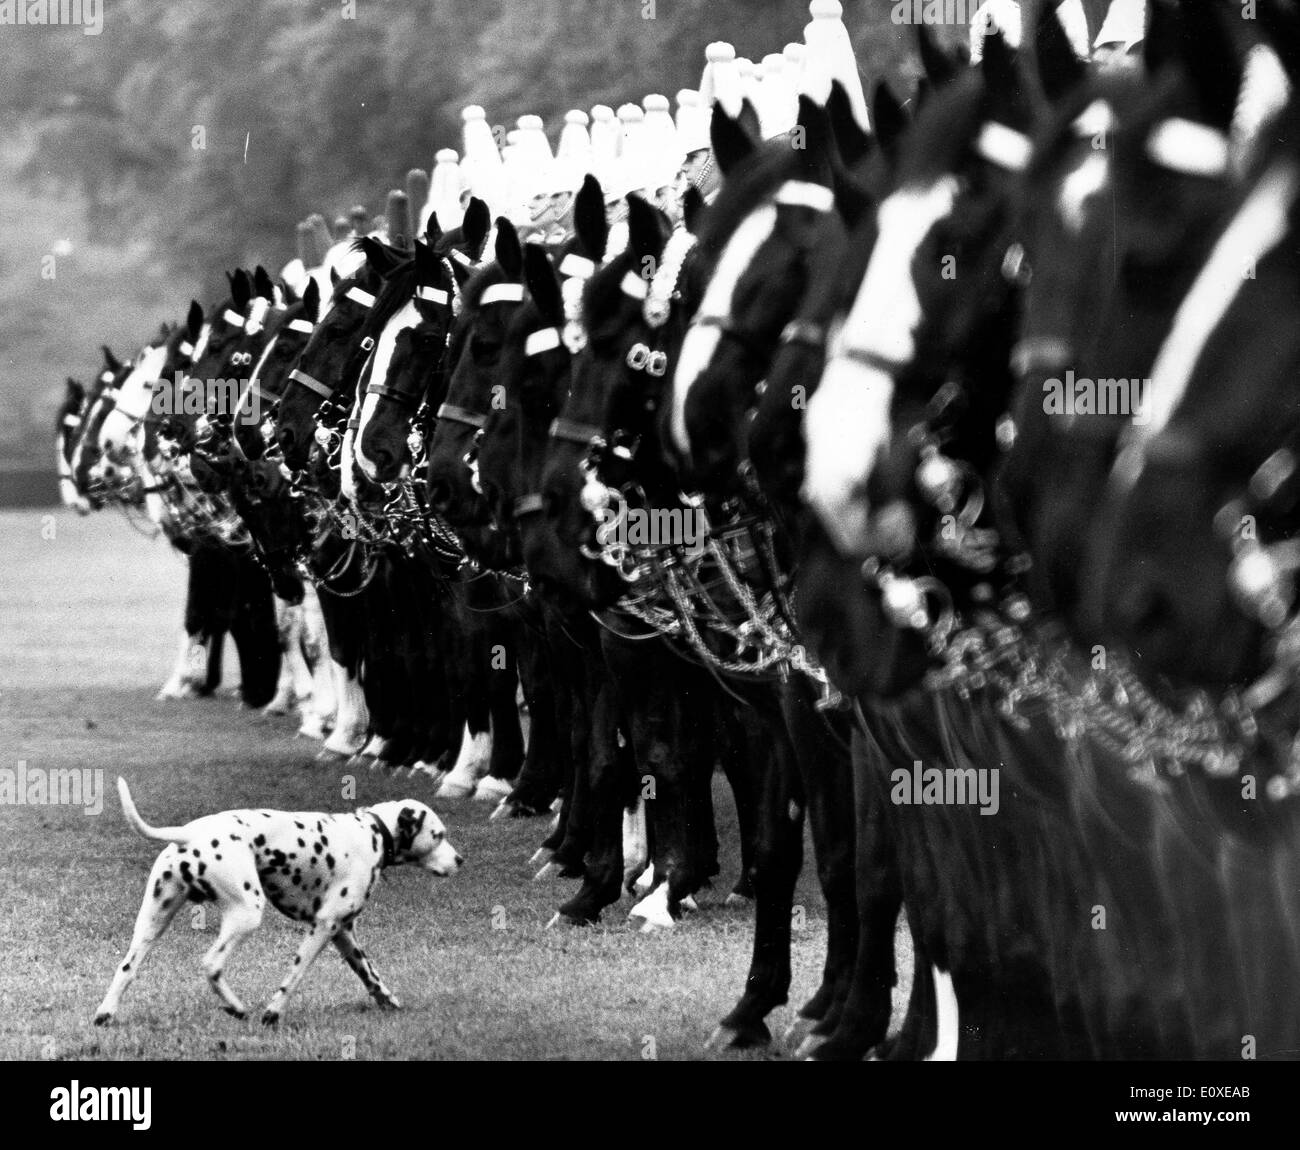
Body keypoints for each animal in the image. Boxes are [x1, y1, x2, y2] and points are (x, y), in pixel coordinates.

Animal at [94, 774, 462, 1029]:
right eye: (439, 835)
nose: (460, 860)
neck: (374, 832)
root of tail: (189, 833)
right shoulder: (323, 926)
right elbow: (293, 977)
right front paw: (272, 1014)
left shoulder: (344, 933)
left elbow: (371, 976)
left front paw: (390, 1003)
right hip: (246, 914)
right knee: (211, 964)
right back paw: (237, 1007)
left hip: (151, 924)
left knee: (126, 968)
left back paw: (105, 1013)